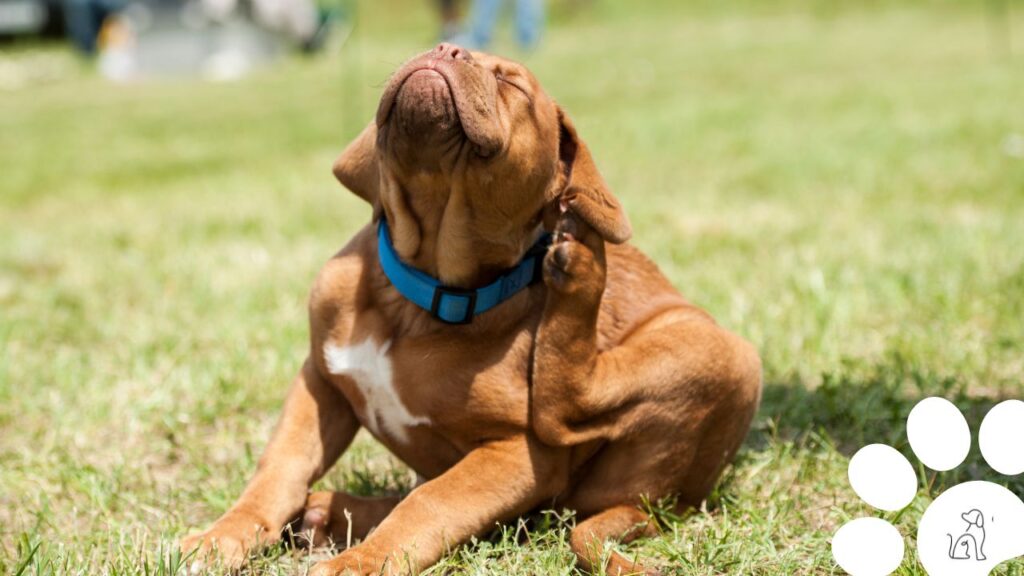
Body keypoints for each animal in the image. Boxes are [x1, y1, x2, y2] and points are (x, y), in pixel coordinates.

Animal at [182, 45, 761, 573]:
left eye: (513, 85)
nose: (447, 48)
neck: (418, 295)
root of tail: (662, 505)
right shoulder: (319, 382)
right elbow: (279, 469)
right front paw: (222, 536)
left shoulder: (520, 455)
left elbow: (431, 503)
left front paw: (360, 564)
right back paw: (327, 514)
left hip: (719, 352)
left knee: (567, 410)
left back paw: (582, 265)